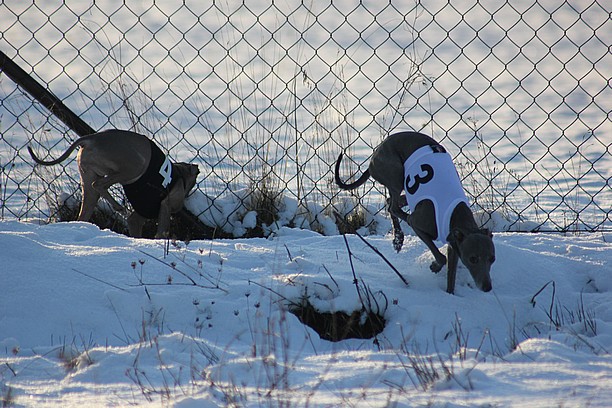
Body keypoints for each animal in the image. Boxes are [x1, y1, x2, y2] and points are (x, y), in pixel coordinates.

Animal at [28, 129, 198, 239]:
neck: (179, 173)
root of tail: (91, 138)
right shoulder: (165, 206)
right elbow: (161, 231)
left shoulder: (137, 217)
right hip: (133, 166)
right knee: (98, 184)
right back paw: (118, 207)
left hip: (88, 180)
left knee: (87, 204)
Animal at [332, 131, 494, 294]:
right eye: (473, 259)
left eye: (492, 259)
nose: (487, 287)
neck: (456, 213)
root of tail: (377, 150)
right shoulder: (420, 225)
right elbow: (441, 258)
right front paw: (435, 266)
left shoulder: (454, 244)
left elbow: (451, 278)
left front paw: (449, 294)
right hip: (395, 173)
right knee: (394, 207)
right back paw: (399, 236)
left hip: (405, 190)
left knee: (390, 201)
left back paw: (398, 238)